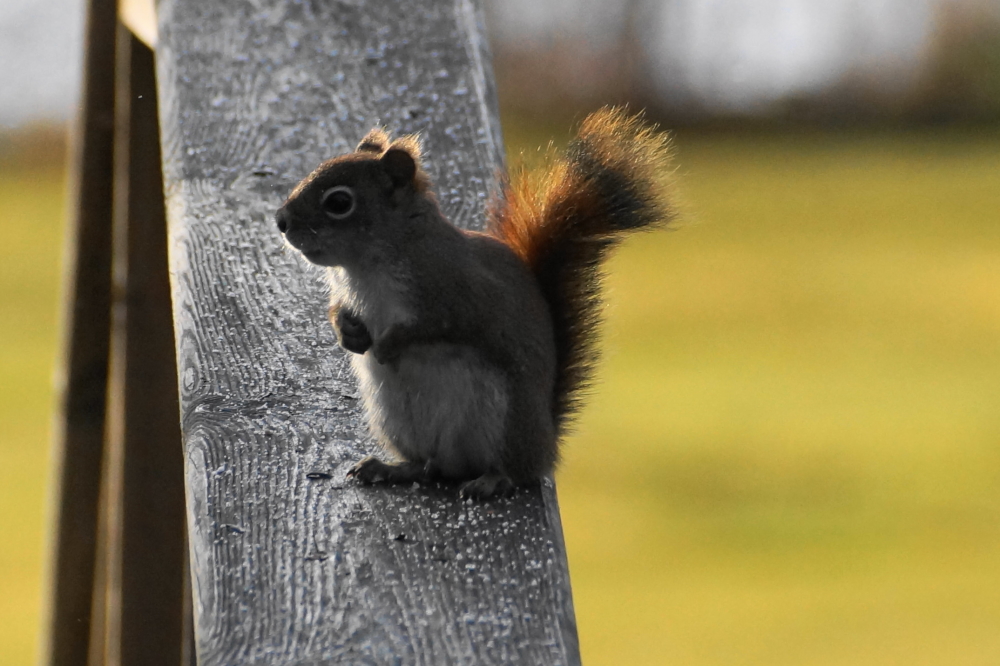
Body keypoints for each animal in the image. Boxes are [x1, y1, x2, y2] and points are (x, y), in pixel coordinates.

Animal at [275, 107, 676, 499]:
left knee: (514, 471)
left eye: (339, 202)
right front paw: (349, 335)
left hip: (504, 421)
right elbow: (337, 312)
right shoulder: (347, 295)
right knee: (428, 466)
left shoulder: (458, 293)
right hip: (395, 420)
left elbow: (433, 326)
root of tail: (546, 442)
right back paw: (392, 468)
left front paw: (389, 345)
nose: (281, 220)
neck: (367, 265)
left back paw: (492, 480)